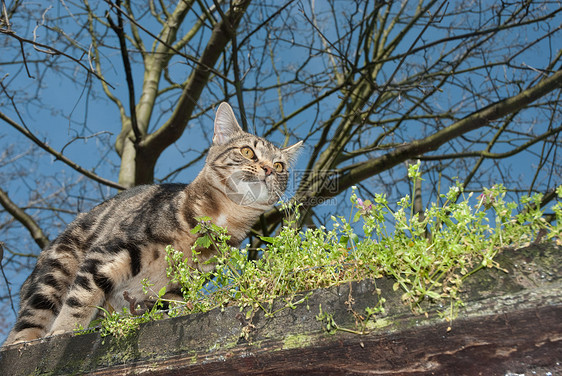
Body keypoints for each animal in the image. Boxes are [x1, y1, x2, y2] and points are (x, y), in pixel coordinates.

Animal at [4, 103, 302, 346]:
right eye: (248, 152)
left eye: (279, 165)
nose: (268, 169)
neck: (220, 219)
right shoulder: (110, 251)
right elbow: (82, 298)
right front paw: (65, 330)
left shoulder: (179, 287)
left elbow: (169, 307)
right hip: (55, 274)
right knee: (24, 328)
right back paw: (26, 340)